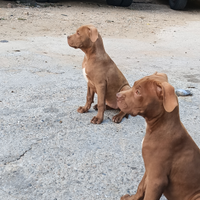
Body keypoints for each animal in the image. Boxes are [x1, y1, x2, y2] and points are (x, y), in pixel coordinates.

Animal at [116, 72, 200, 200]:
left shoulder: (157, 179)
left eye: (138, 92)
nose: (117, 95)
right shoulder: (149, 169)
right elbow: (141, 186)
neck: (158, 127)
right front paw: (131, 198)